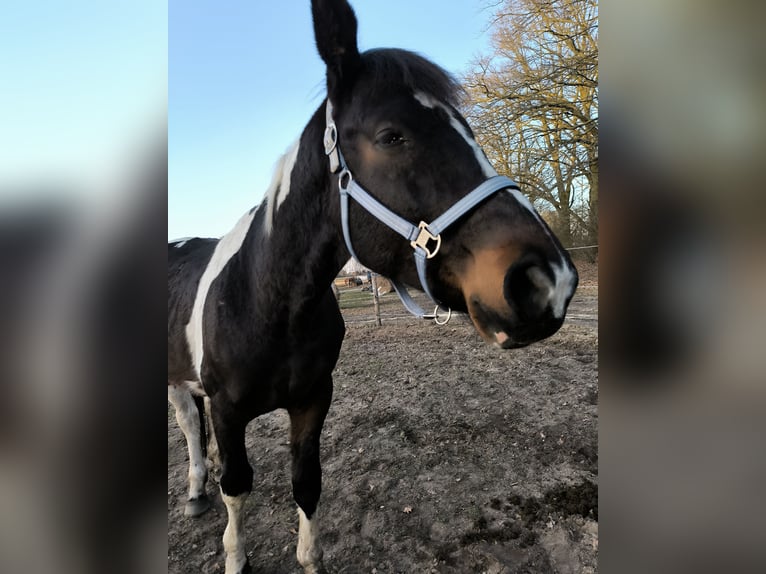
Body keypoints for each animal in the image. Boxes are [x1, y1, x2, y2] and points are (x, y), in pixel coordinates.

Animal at [168, 1, 578, 572]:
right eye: (391, 136)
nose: (547, 280)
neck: (268, 302)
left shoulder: (314, 400)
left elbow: (307, 484)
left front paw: (310, 558)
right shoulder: (228, 411)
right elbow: (238, 488)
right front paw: (236, 557)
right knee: (189, 426)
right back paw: (194, 493)